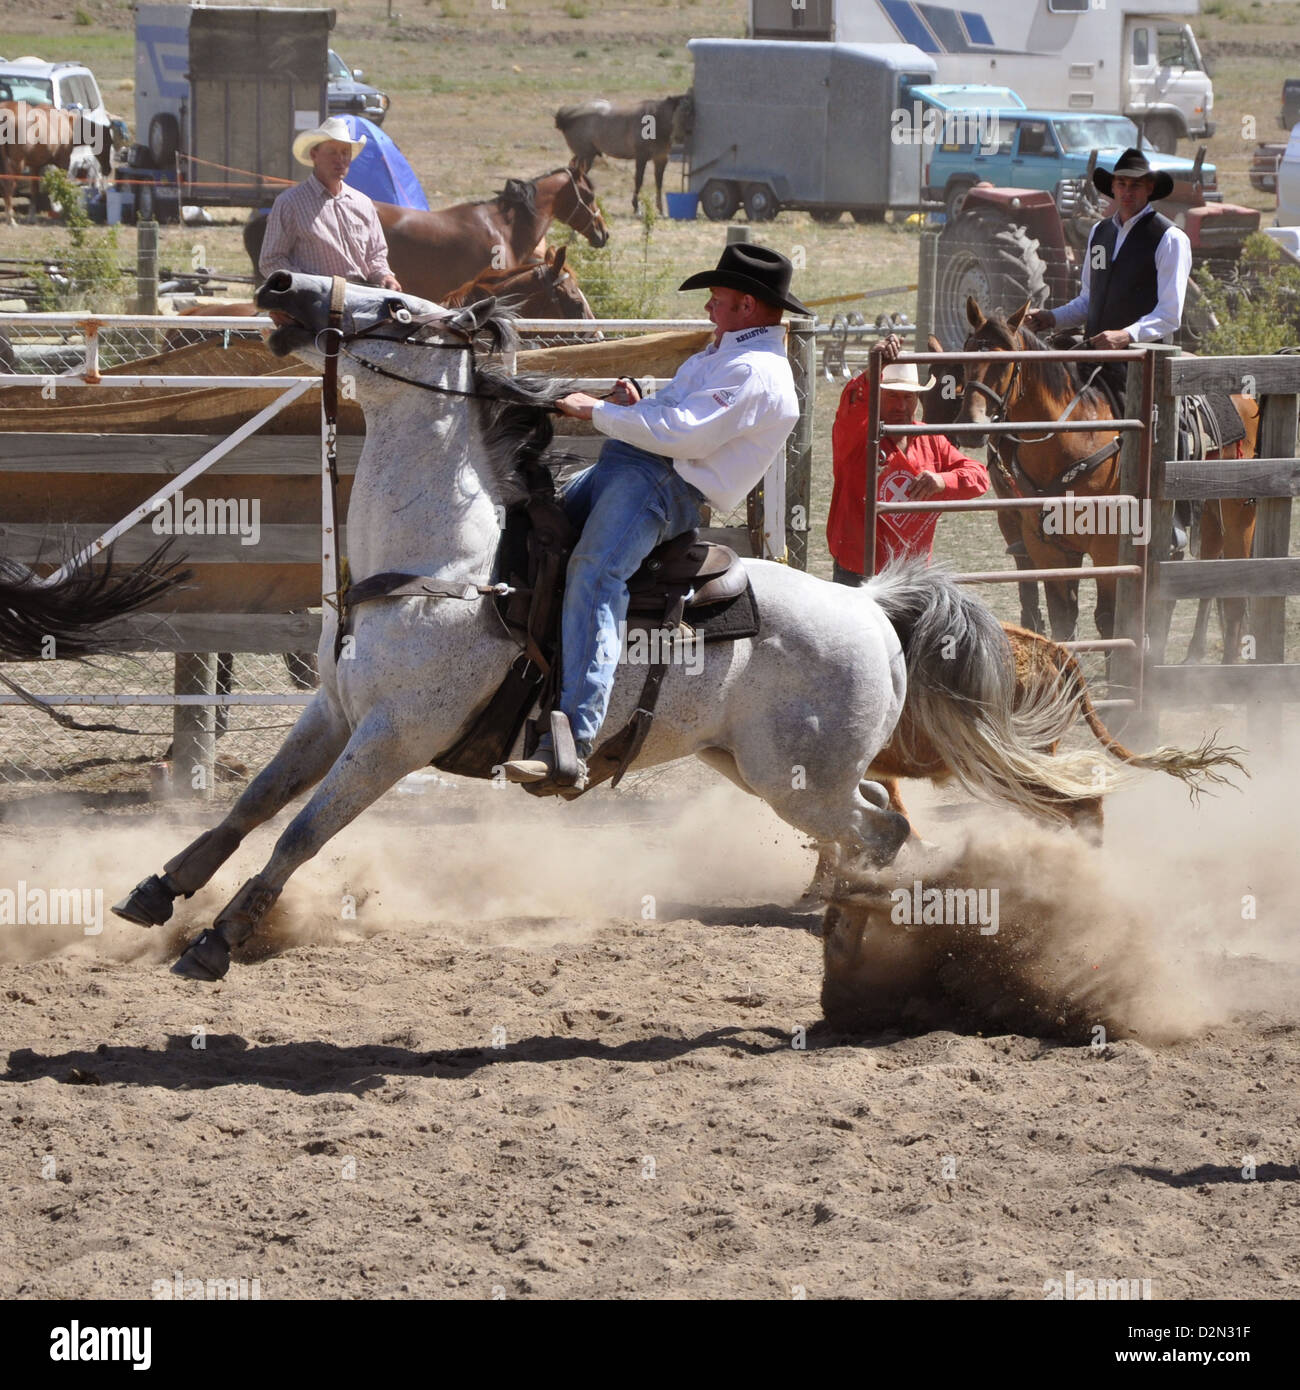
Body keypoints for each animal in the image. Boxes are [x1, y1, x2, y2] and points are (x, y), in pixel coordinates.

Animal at [553, 93, 686, 211]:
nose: (681, 139)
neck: (656, 120)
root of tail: (567, 114)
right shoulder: (641, 158)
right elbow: (639, 180)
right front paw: (636, 208)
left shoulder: (661, 159)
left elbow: (659, 183)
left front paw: (661, 210)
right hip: (586, 157)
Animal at [962, 298, 1256, 644]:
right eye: (966, 353)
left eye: (1005, 363)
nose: (971, 427)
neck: (1074, 438)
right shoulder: (1044, 545)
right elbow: (1063, 619)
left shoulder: (1107, 546)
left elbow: (1108, 620)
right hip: (1208, 517)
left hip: (1238, 515)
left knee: (1234, 599)